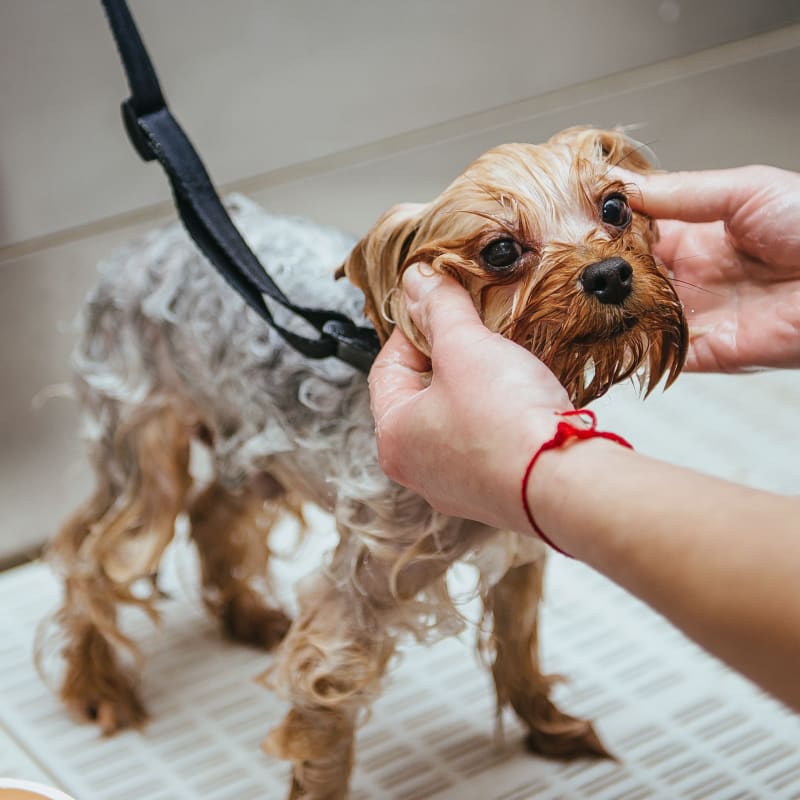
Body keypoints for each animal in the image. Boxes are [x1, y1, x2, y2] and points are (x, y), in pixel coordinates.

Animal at [40, 128, 684, 796]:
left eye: (615, 208)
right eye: (502, 249)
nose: (610, 273)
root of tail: (148, 240)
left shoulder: (520, 541)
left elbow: (518, 644)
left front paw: (549, 728)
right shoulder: (354, 605)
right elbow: (325, 727)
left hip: (256, 440)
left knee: (213, 509)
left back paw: (247, 617)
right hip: (142, 439)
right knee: (91, 557)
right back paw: (97, 686)